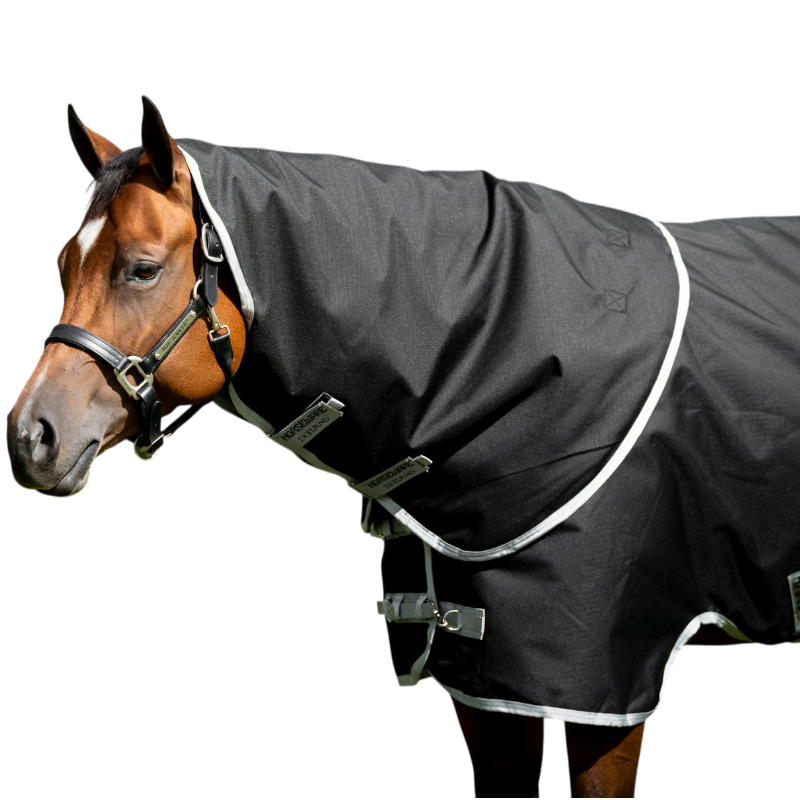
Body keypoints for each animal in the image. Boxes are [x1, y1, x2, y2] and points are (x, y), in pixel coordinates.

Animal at [7, 98, 798, 797]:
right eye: (62, 265)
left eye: (141, 268)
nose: (29, 436)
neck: (511, 344)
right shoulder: (483, 689)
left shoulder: (603, 689)